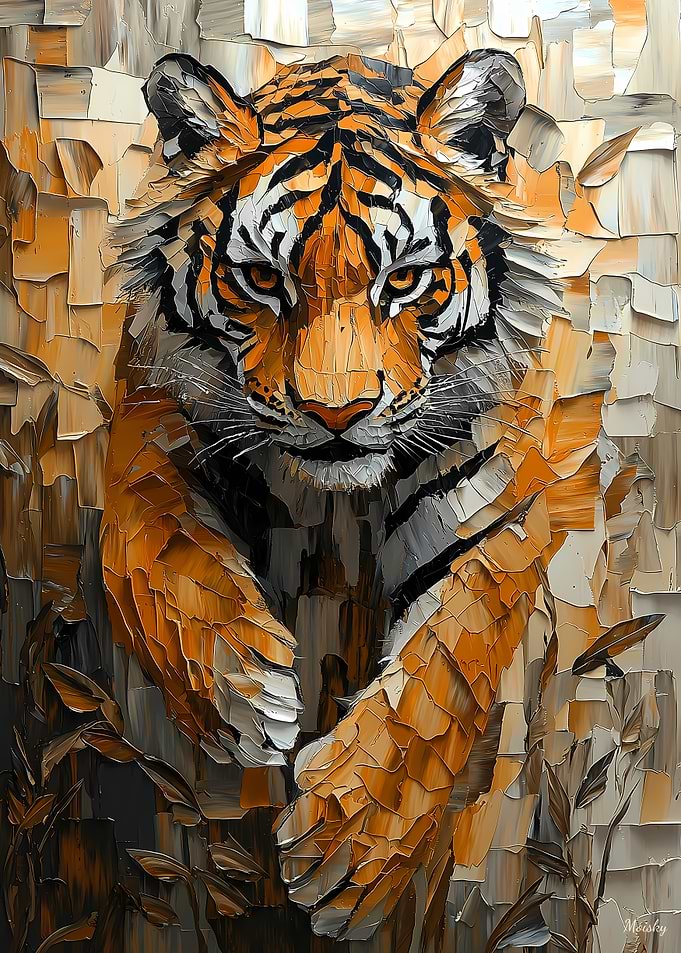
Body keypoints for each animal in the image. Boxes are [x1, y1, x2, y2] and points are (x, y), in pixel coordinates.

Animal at [102, 47, 608, 943]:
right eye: (260, 279)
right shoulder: (147, 437)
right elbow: (149, 553)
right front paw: (242, 692)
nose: (336, 413)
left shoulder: (492, 523)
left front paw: (347, 850)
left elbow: (443, 673)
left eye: (404, 281)